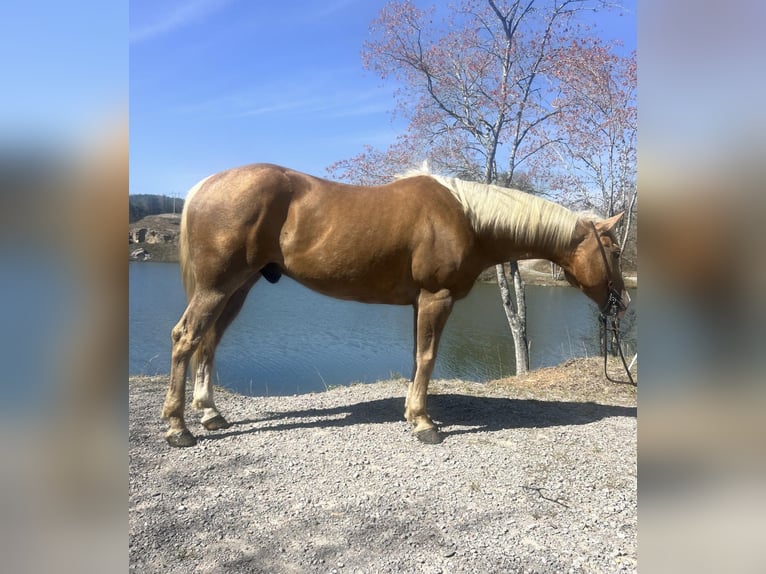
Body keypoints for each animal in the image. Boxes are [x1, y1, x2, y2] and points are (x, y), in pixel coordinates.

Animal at [160, 164, 632, 448]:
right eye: (613, 250)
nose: (623, 302)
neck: (467, 217)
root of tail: (205, 186)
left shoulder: (419, 303)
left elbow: (416, 357)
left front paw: (411, 412)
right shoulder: (436, 298)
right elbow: (427, 357)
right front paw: (424, 423)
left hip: (237, 288)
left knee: (208, 341)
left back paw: (211, 415)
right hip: (217, 287)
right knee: (186, 338)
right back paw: (178, 427)